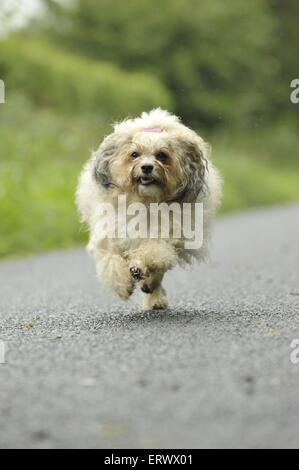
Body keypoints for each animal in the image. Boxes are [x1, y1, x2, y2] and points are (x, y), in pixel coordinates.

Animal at [77, 108, 223, 310]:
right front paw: (122, 285)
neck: (145, 202)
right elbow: (112, 261)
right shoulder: (110, 236)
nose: (147, 167)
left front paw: (139, 269)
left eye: (162, 155)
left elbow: (154, 253)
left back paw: (152, 292)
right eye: (134, 154)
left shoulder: (166, 237)